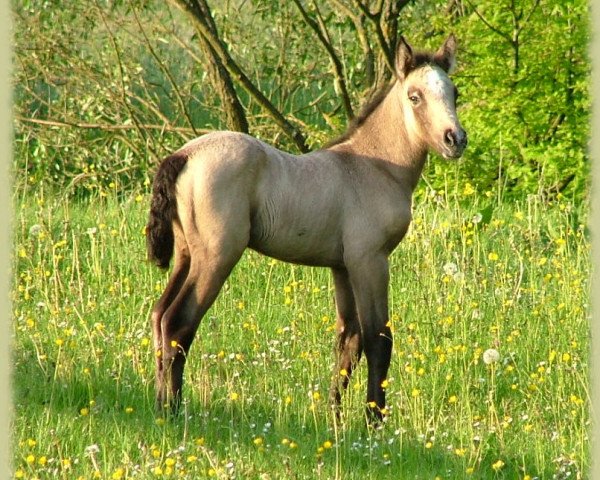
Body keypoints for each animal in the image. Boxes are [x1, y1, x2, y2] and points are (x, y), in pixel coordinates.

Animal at [146, 35, 468, 422]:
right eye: (415, 96)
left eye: (455, 92)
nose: (455, 139)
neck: (375, 166)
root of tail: (183, 155)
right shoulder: (370, 260)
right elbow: (378, 339)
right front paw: (374, 421)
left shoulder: (342, 267)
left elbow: (348, 341)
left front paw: (335, 418)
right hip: (216, 256)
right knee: (178, 323)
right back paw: (174, 411)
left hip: (185, 255)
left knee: (159, 317)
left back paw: (160, 405)